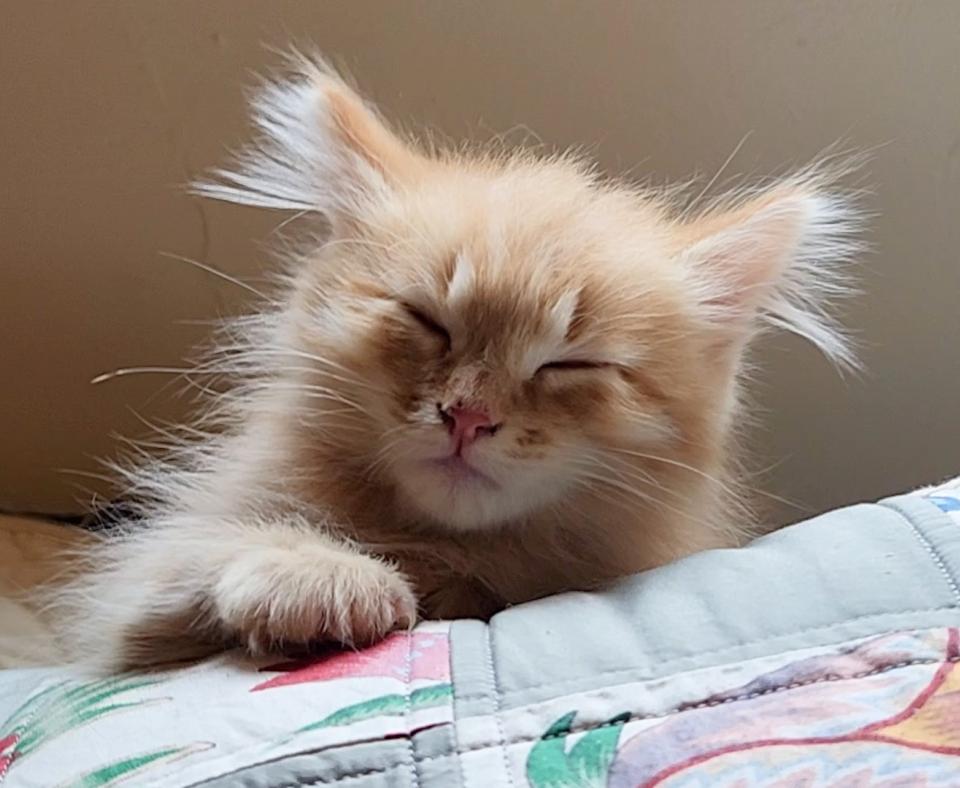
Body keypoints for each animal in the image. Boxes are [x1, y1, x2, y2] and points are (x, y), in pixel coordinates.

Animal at [52, 57, 864, 672]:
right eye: (427, 322)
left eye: (570, 363)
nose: (467, 416)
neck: (440, 548)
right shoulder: (136, 600)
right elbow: (202, 549)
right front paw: (327, 578)